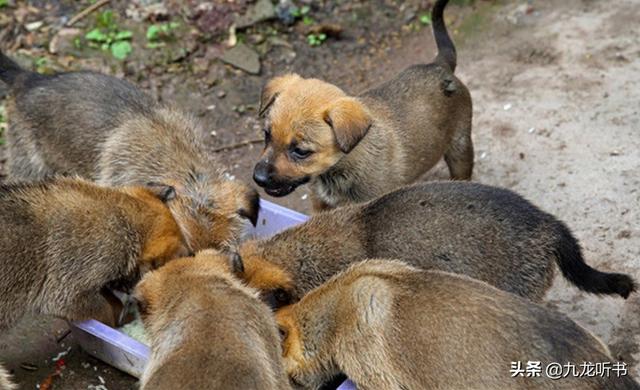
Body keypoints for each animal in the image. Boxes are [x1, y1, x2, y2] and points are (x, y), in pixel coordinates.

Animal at [254, 0, 470, 210]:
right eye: (267, 135)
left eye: (300, 151)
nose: (258, 178)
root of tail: (439, 64)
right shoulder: (319, 203)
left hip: (460, 150)